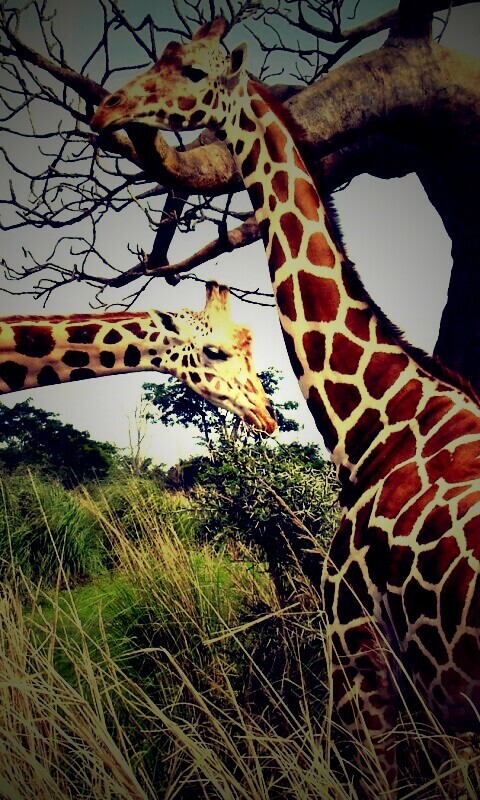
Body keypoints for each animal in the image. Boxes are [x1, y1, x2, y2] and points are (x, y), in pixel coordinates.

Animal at [90, 18, 480, 796]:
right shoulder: (441, 696)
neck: (379, 416)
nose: (107, 108)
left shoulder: (354, 643)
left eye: (191, 69)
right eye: (164, 52)